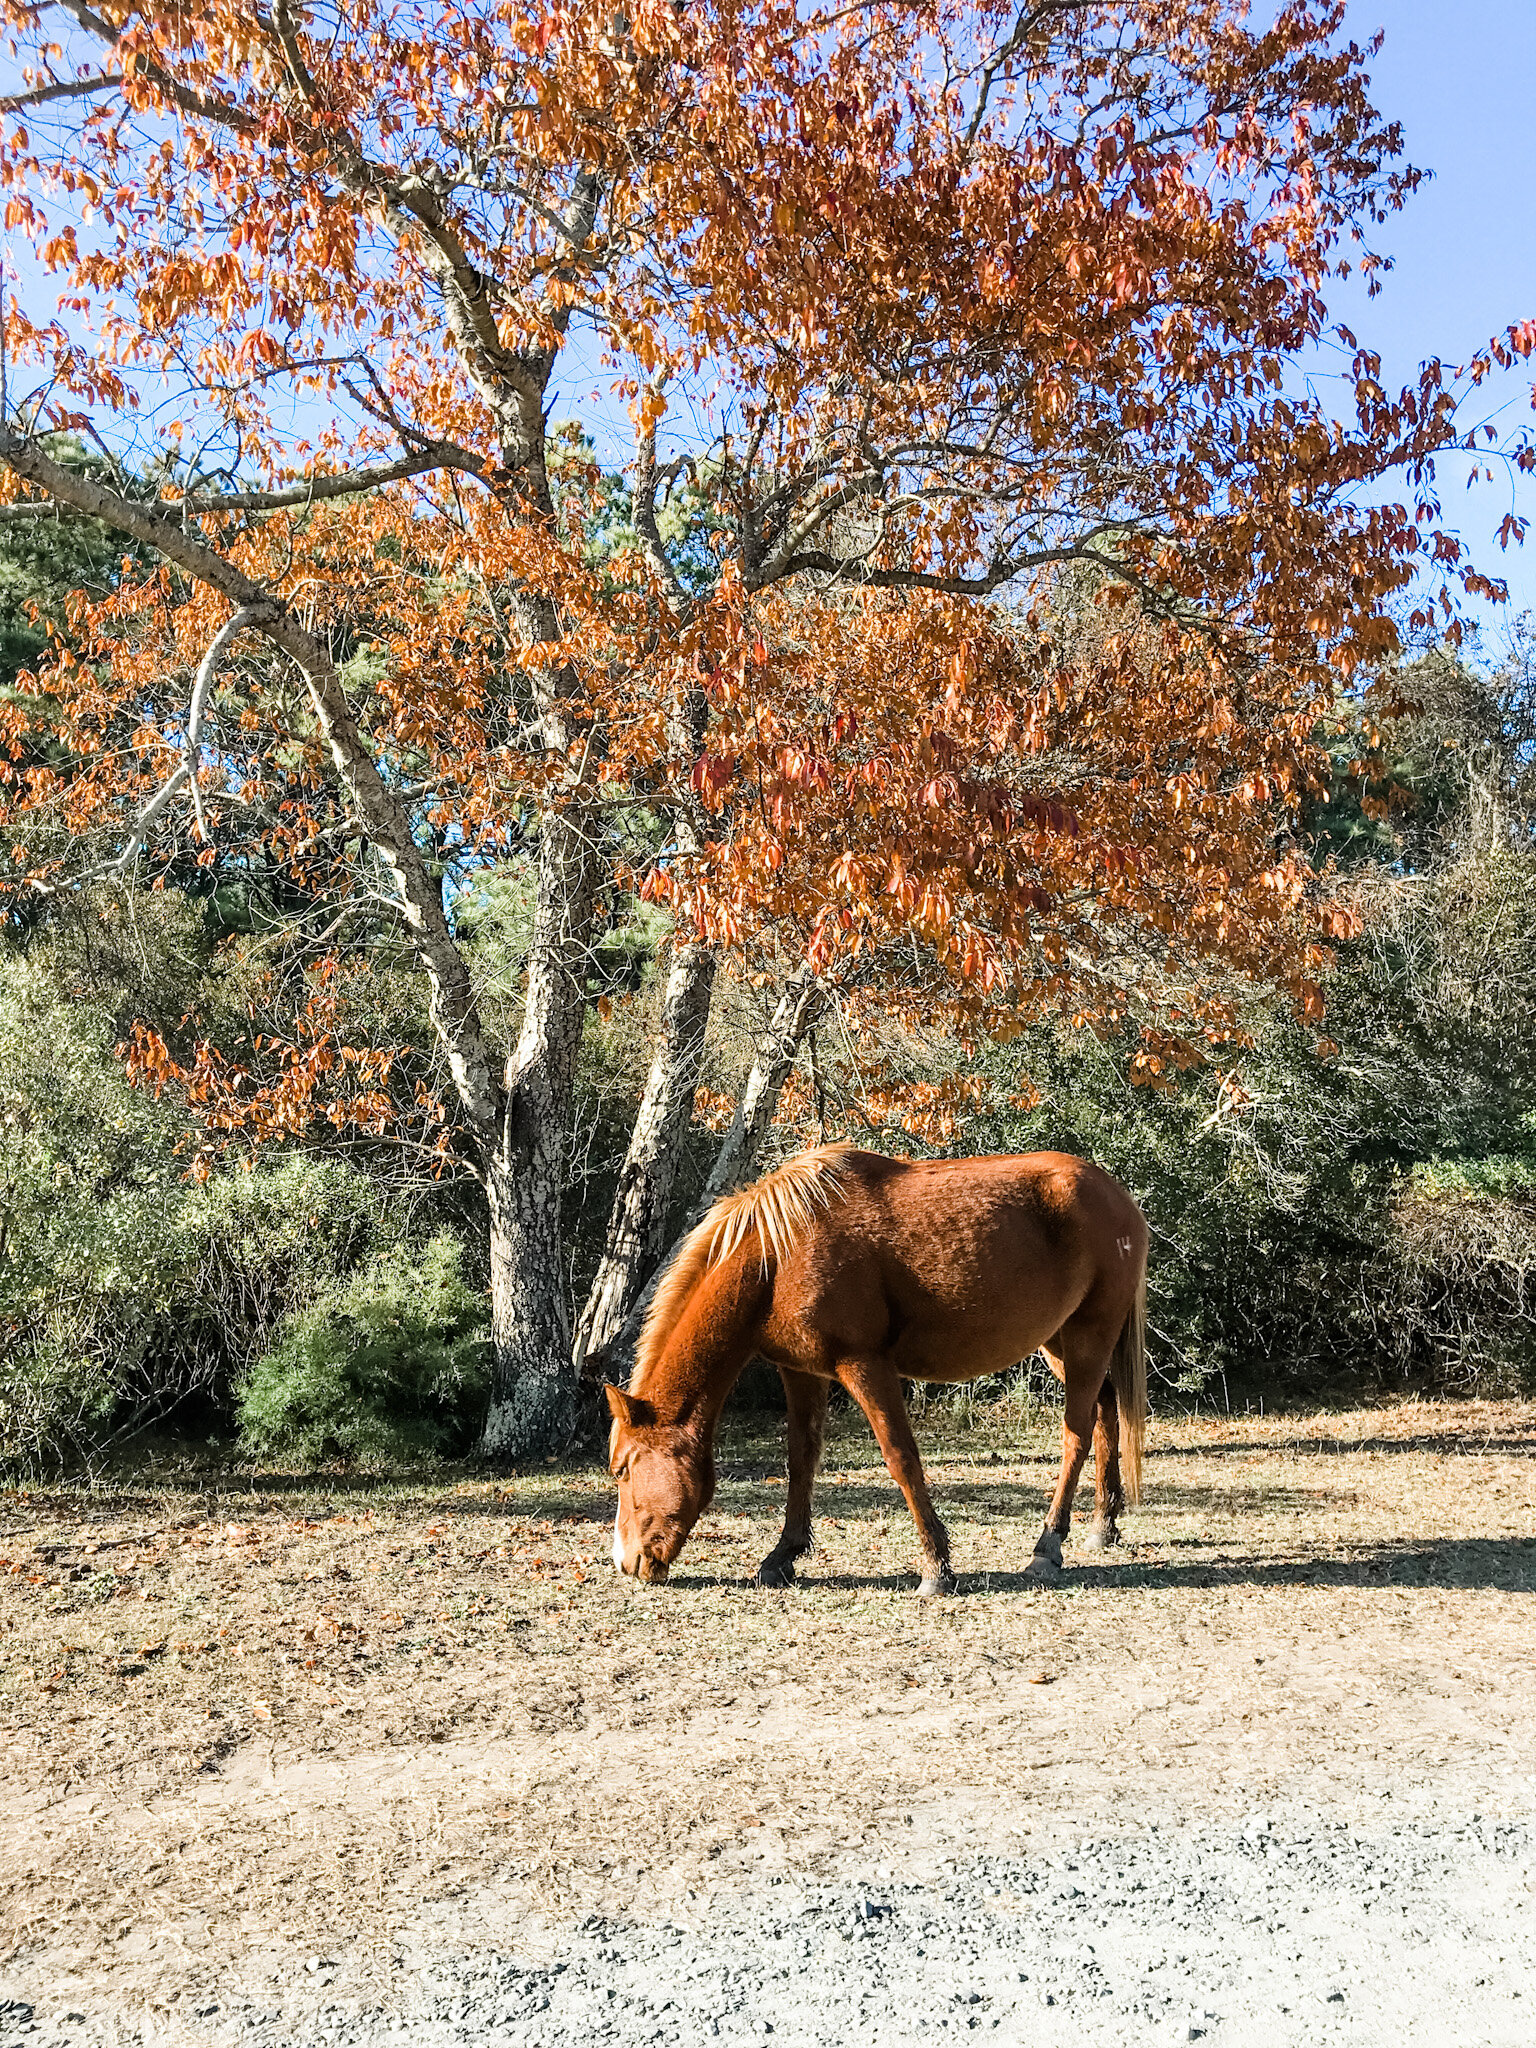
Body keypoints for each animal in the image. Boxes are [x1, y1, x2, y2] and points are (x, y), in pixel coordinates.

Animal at [606, 1146, 1146, 1589]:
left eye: (622, 1469)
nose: (626, 1562)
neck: (779, 1257)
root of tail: (1119, 1198)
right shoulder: (802, 1372)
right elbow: (801, 1459)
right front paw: (782, 1556)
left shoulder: (864, 1365)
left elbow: (901, 1458)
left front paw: (935, 1567)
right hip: (1061, 1345)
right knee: (1104, 1410)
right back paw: (1103, 1525)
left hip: (1089, 1337)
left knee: (1076, 1433)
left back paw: (1047, 1548)